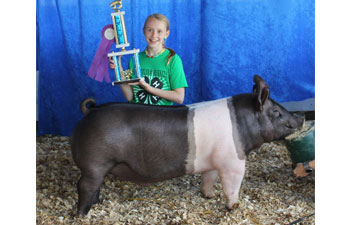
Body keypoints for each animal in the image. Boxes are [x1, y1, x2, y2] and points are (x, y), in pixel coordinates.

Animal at [70, 75, 304, 214]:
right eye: (276, 111)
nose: (300, 117)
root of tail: (90, 112)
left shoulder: (213, 160)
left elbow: (208, 179)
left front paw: (208, 196)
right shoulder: (233, 161)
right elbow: (232, 185)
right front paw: (234, 207)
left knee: (95, 186)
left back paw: (97, 204)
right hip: (95, 163)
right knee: (84, 185)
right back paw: (82, 214)